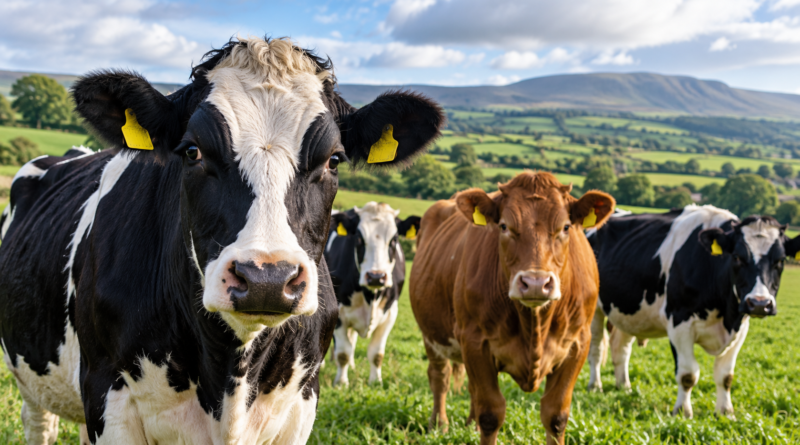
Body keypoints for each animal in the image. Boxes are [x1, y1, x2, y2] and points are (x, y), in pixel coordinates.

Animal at [324, 202, 420, 386]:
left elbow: (376, 353)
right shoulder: (338, 311)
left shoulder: (390, 313)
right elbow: (343, 352)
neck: (370, 296)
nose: (376, 276)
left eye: (394, 239)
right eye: (358, 238)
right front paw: (341, 383)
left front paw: (376, 381)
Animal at [410, 171, 615, 445]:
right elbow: (490, 414)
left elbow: (556, 416)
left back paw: (470, 425)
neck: (535, 326)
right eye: (504, 226)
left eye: (565, 227)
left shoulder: (578, 342)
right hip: (432, 335)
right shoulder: (474, 341)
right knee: (439, 378)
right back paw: (439, 424)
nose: (536, 283)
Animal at [586, 205, 800, 419]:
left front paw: (726, 412)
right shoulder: (680, 323)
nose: (759, 303)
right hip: (594, 311)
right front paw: (682, 412)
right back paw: (595, 386)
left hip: (629, 311)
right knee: (596, 349)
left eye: (780, 260)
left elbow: (726, 376)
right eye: (737, 257)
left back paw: (624, 387)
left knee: (620, 349)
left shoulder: (740, 327)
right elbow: (688, 374)